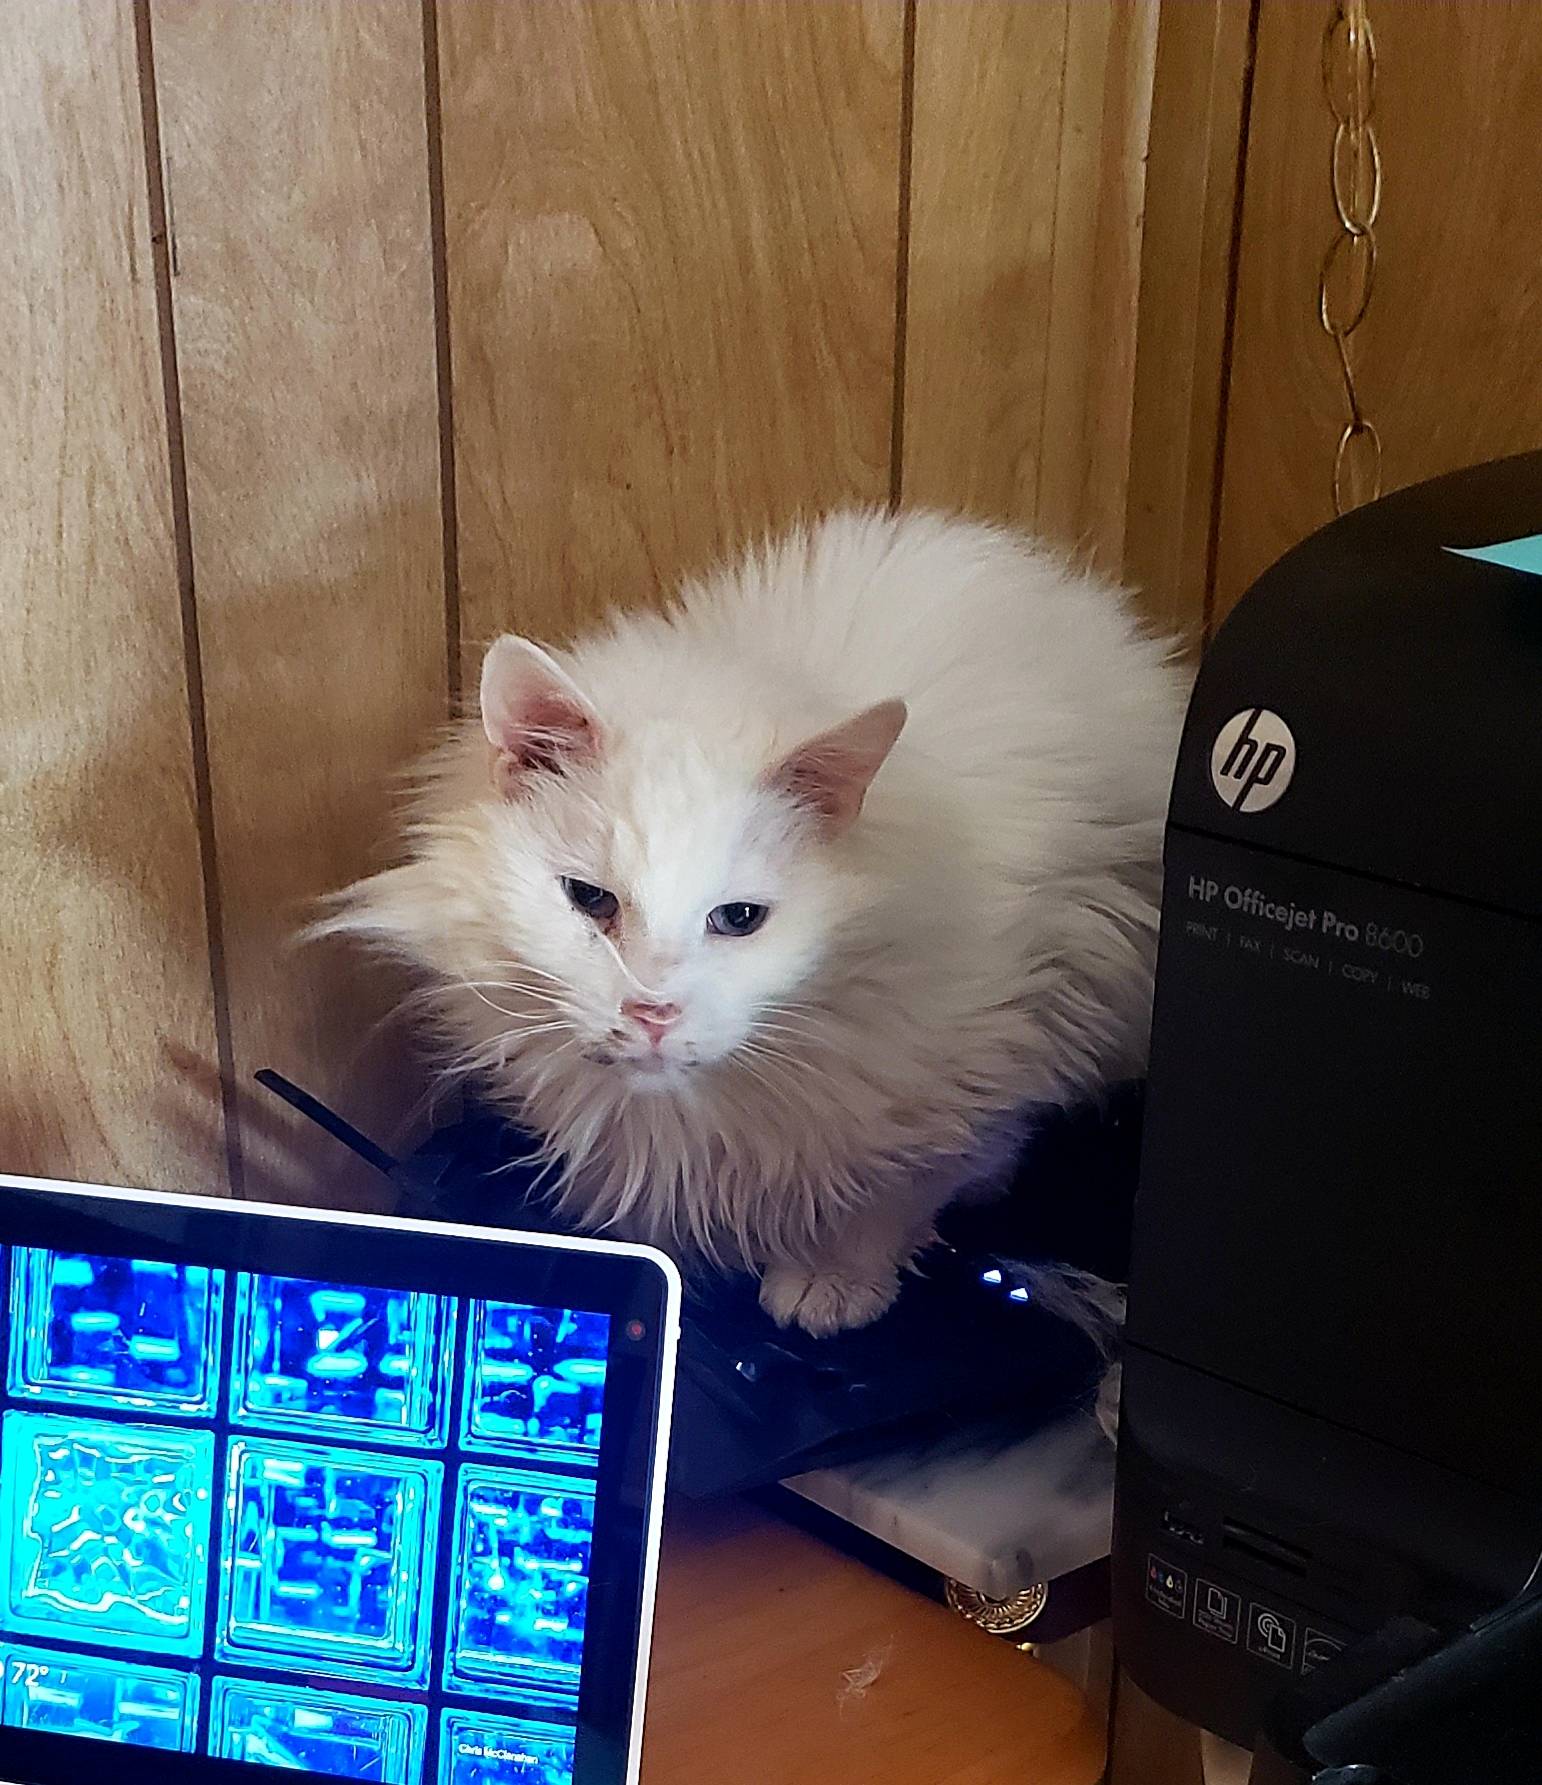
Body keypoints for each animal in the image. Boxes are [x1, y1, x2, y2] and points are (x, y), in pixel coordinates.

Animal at [321, 510, 1187, 1335]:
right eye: (591, 900)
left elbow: (898, 1186)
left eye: (738, 918)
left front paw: (832, 1280)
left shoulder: (1002, 1029)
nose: (653, 1012)